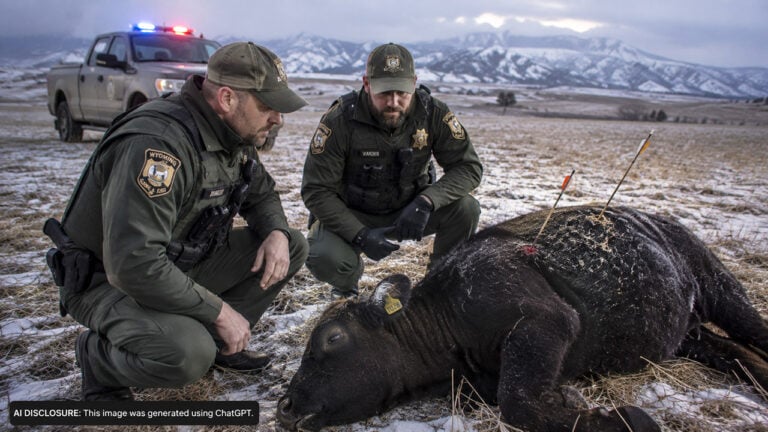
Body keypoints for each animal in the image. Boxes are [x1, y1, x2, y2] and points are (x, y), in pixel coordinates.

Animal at [277, 206, 768, 431]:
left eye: (332, 339)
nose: (285, 407)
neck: (447, 316)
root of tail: (664, 221)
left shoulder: (548, 322)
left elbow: (517, 401)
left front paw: (629, 418)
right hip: (690, 335)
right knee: (733, 353)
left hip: (721, 287)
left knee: (753, 331)